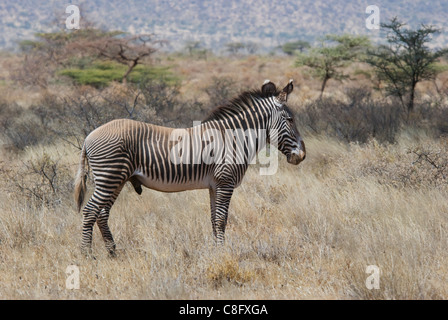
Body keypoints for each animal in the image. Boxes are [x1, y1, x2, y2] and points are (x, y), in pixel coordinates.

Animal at [73, 79, 306, 256]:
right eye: (290, 119)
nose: (302, 156)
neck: (234, 138)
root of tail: (89, 136)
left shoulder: (214, 185)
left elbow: (214, 219)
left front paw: (216, 251)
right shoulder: (225, 182)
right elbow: (221, 219)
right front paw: (222, 254)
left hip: (116, 179)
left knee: (102, 213)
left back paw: (113, 252)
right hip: (109, 176)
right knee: (90, 211)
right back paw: (87, 255)